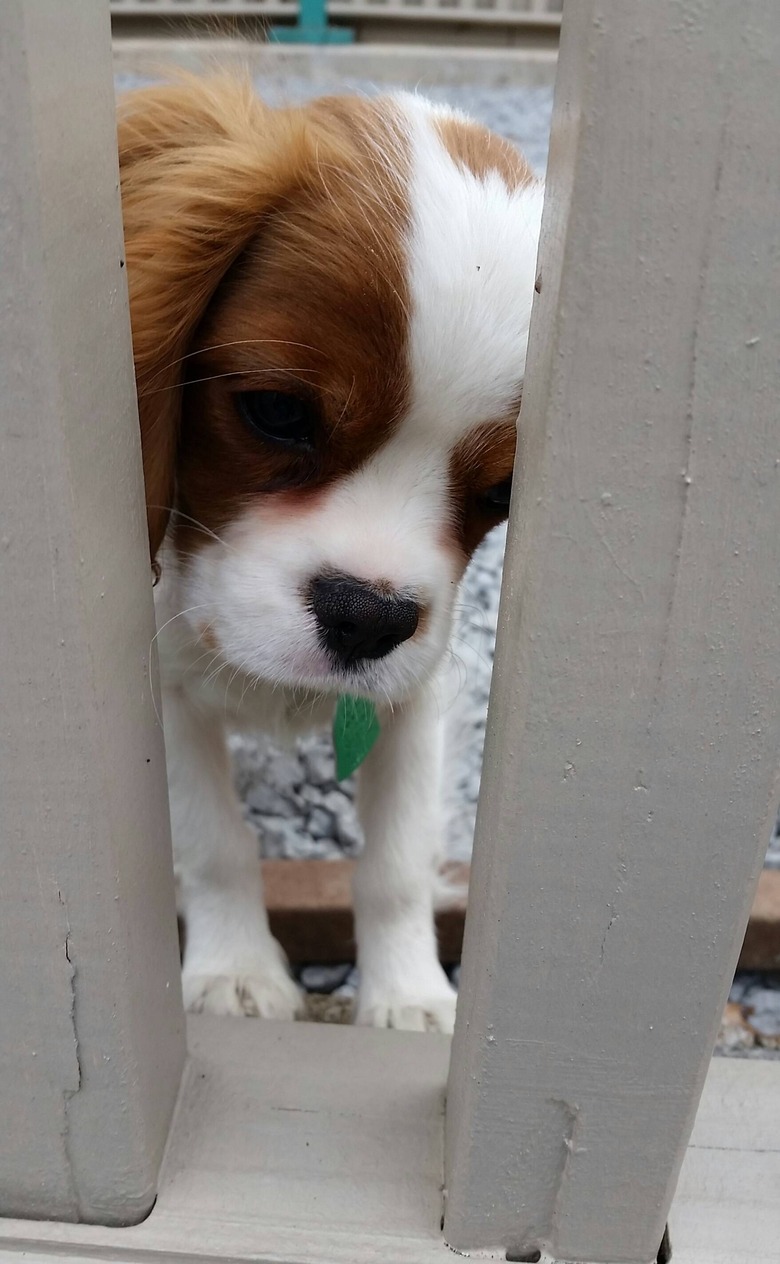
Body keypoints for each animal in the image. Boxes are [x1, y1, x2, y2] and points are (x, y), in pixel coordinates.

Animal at [118, 73, 541, 1031]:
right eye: (277, 411)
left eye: (504, 493)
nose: (367, 617)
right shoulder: (163, 691)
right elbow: (213, 840)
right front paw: (235, 972)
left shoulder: (416, 693)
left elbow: (395, 864)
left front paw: (410, 996)